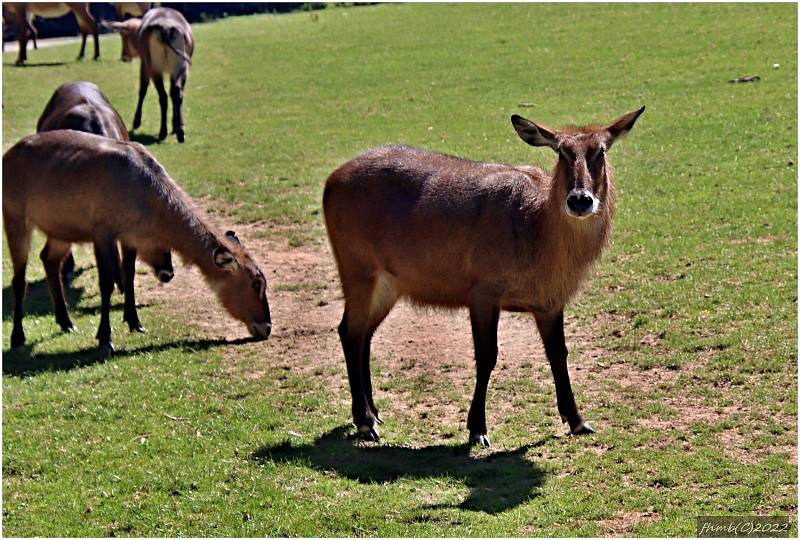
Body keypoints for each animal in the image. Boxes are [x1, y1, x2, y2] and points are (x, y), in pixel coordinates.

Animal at [3, 129, 274, 352]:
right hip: (16, 220)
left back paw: (66, 322)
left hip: (61, 232)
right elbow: (107, 283)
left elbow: (129, 275)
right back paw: (18, 337)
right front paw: (105, 339)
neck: (142, 186)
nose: (267, 327)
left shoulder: (129, 237)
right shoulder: (103, 234)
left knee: (49, 260)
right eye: (255, 283)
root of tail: (8, 154)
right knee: (19, 279)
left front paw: (135, 323)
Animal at [105, 7, 195, 142]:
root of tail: (165, 28)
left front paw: (136, 122)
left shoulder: (144, 64)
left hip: (154, 68)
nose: (124, 57)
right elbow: (172, 92)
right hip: (181, 67)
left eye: (124, 35)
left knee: (163, 96)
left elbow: (143, 89)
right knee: (177, 92)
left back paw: (163, 132)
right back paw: (180, 133)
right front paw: (175, 127)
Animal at [324, 106, 644, 448]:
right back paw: (365, 421)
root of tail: (331, 180)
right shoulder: (483, 293)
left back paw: (375, 412)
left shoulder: (549, 303)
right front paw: (478, 428)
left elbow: (559, 354)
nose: (580, 199)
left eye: (601, 150)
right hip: (357, 269)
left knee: (364, 334)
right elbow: (487, 356)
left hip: (389, 283)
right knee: (349, 331)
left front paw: (578, 421)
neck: (538, 231)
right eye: (561, 151)